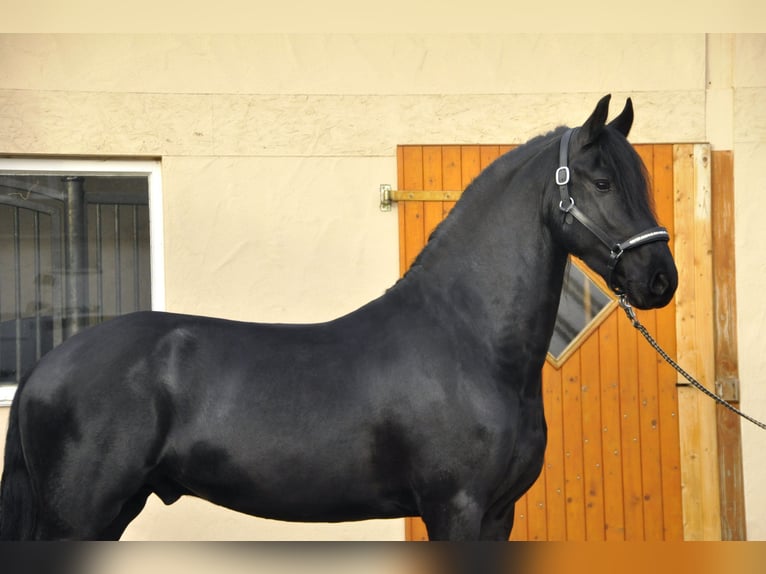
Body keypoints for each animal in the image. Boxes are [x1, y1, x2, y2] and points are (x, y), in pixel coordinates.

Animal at [3, 97, 680, 544]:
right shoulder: (455, 509)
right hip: (83, 519)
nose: (660, 279)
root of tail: (43, 366)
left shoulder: (497, 515)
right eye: (601, 181)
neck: (467, 343)